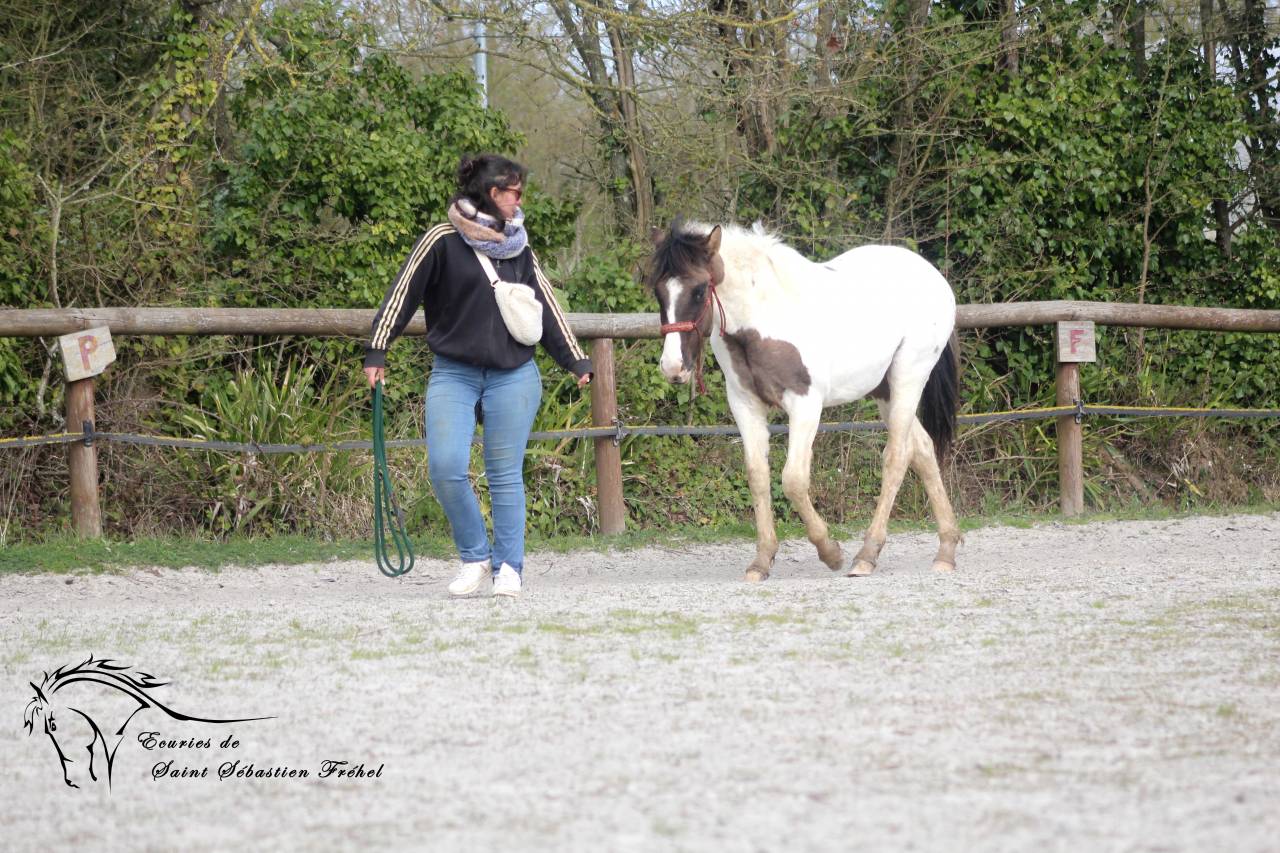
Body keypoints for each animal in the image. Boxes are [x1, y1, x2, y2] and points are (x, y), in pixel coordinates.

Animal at [647, 221, 961, 581]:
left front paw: (830, 552)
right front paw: (761, 562)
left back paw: (866, 556)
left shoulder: (805, 405)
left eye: (699, 290)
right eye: (658, 291)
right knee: (922, 449)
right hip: (884, 391)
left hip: (908, 379)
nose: (673, 368)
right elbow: (758, 476)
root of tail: (933, 276)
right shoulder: (745, 405)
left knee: (897, 456)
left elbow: (793, 480)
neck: (764, 321)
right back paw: (946, 550)